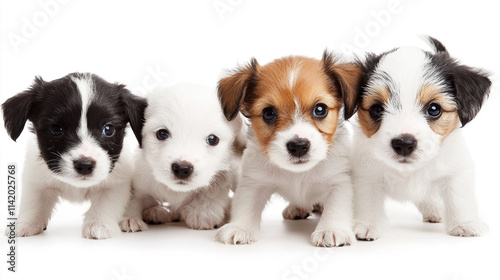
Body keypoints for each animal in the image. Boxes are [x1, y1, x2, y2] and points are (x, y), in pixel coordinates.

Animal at [119, 83, 244, 232]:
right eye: (162, 133)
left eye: (213, 139)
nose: (182, 168)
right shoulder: (140, 180)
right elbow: (135, 198)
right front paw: (130, 217)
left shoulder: (221, 175)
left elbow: (211, 193)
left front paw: (203, 212)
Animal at [215, 53, 364, 247]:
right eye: (268, 113)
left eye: (320, 109)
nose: (298, 146)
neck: (297, 174)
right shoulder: (253, 181)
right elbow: (245, 204)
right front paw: (240, 227)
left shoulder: (339, 181)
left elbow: (336, 206)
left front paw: (331, 229)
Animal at [352, 36, 492, 240]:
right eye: (376, 109)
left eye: (434, 109)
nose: (403, 144)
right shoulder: (364, 175)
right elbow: (367, 199)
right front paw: (367, 225)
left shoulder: (457, 170)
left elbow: (458, 196)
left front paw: (465, 224)